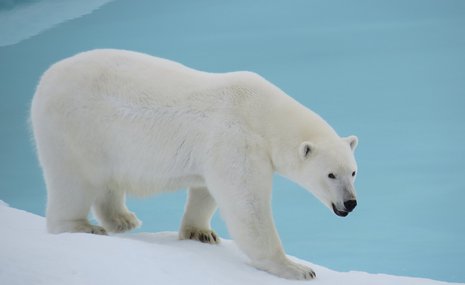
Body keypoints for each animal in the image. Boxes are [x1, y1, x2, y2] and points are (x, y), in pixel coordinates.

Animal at [30, 49, 358, 280]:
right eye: (331, 175)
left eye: (353, 171)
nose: (350, 203)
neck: (261, 113)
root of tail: (46, 78)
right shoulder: (236, 139)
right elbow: (247, 205)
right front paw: (296, 268)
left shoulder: (217, 149)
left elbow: (206, 190)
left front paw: (200, 233)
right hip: (74, 126)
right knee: (73, 180)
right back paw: (82, 226)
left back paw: (123, 219)